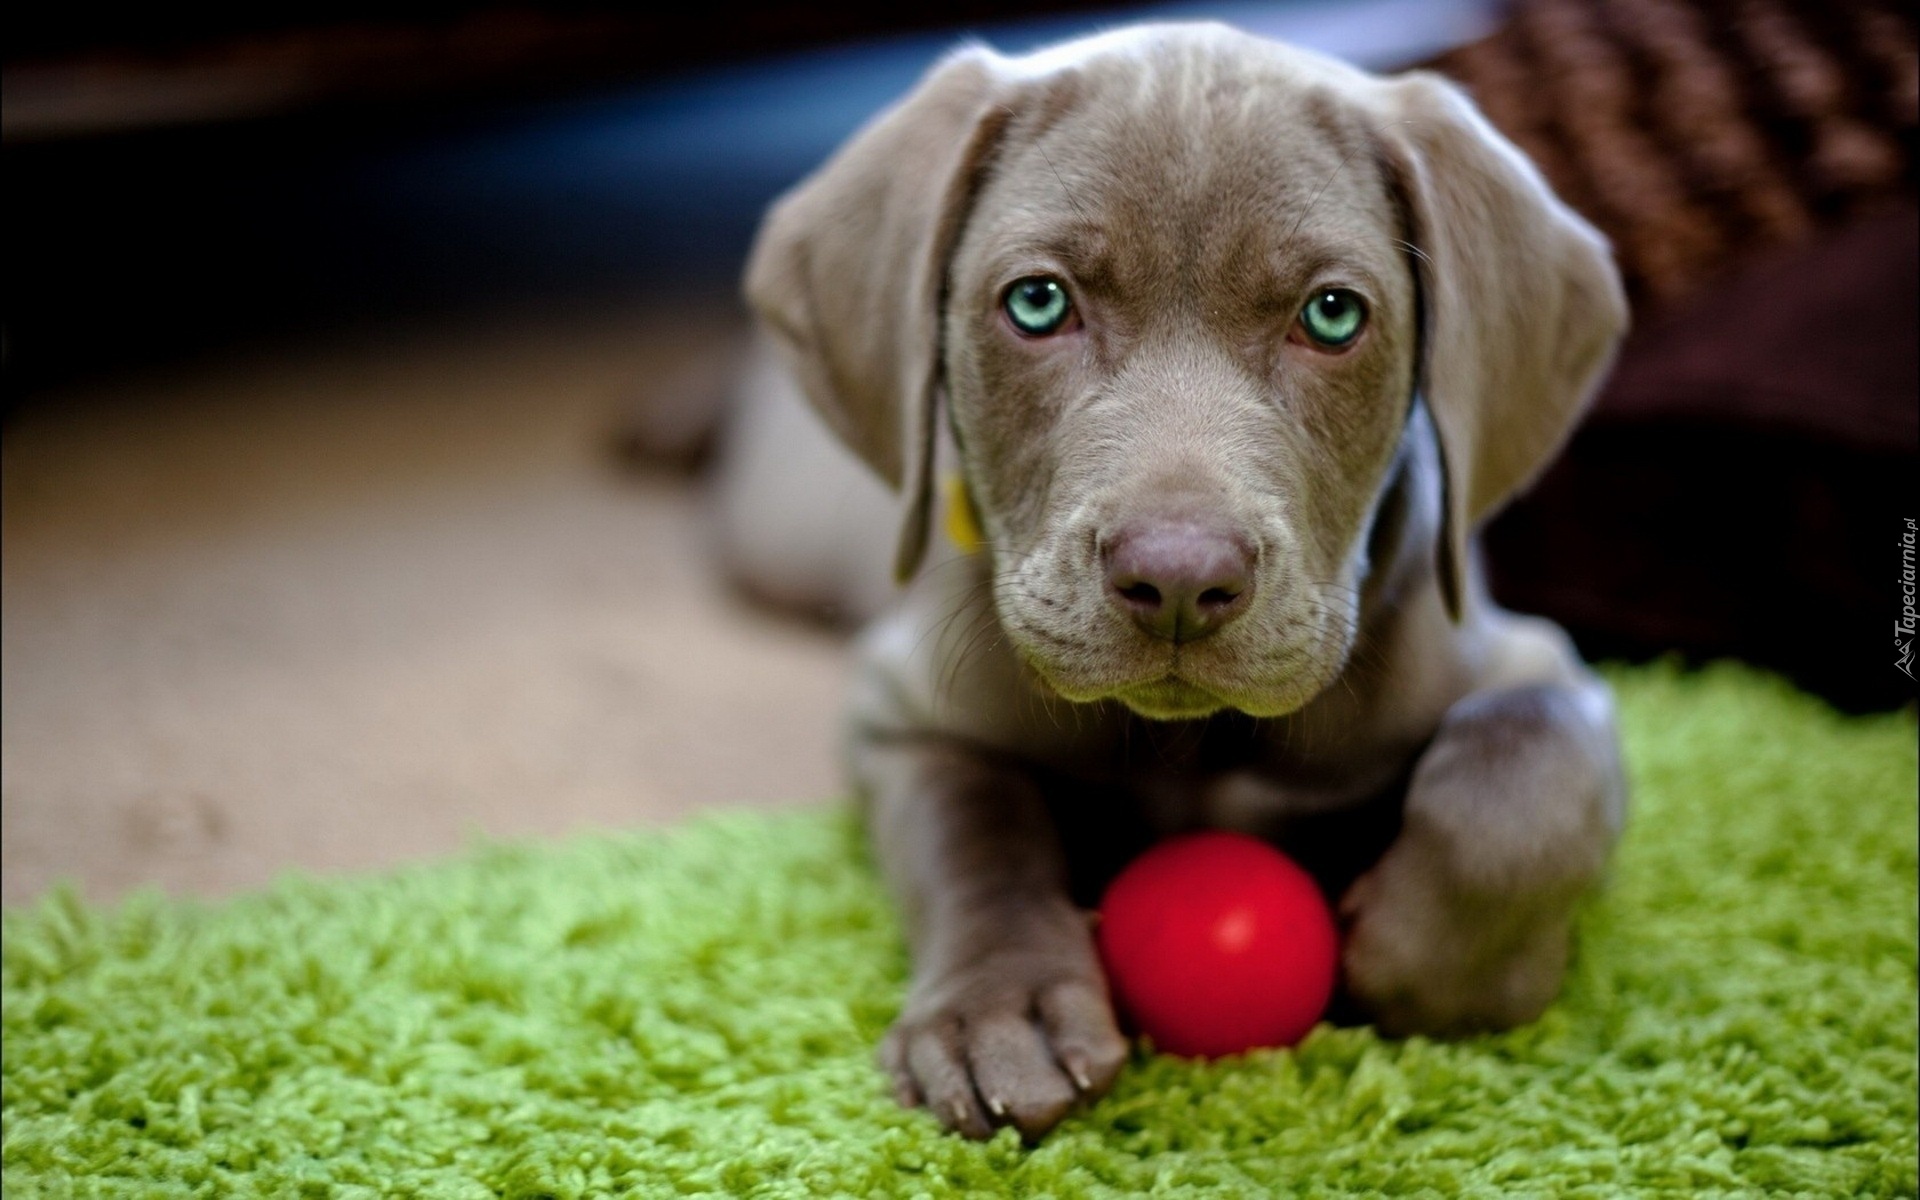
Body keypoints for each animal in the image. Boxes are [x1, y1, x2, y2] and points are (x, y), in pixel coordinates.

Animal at [725, 23, 1628, 1136]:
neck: (1197, 742)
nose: (1181, 582)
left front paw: (1435, 966)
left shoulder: (1536, 667)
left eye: (1334, 315)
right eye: (1038, 302)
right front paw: (998, 1014)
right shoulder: (900, 713)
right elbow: (972, 825)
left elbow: (1516, 787)